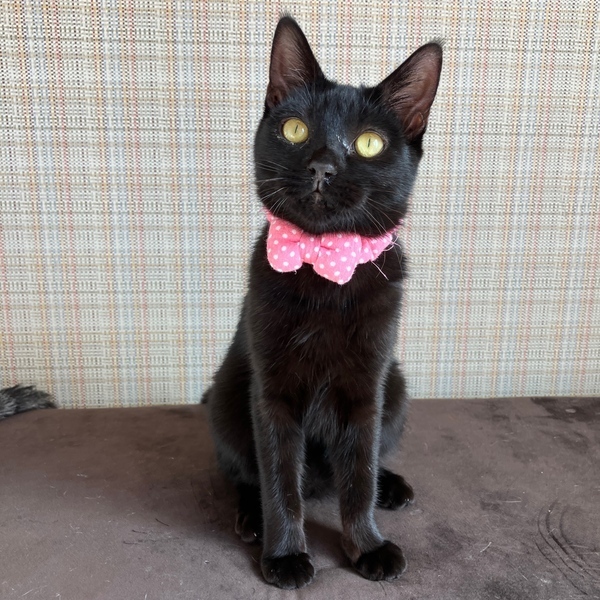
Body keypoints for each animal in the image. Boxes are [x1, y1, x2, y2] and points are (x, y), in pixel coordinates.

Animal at [203, 15, 442, 589]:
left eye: (370, 143)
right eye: (295, 131)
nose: (322, 167)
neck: (324, 271)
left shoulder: (366, 390)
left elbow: (358, 477)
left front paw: (366, 545)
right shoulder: (272, 394)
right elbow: (279, 480)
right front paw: (285, 554)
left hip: (396, 389)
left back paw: (391, 486)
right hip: (227, 396)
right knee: (244, 473)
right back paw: (250, 517)